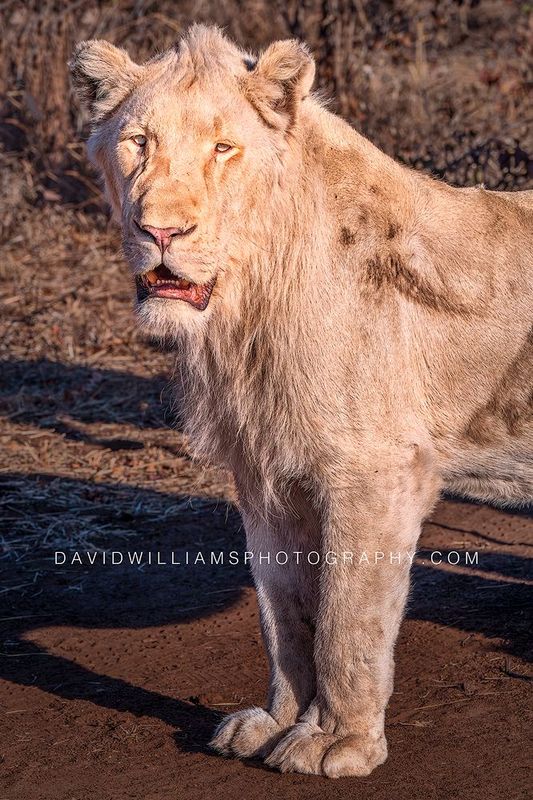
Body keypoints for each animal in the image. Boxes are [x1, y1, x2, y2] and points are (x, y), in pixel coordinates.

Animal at [70, 24, 533, 778]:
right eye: (139, 141)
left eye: (223, 148)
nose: (161, 232)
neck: (245, 308)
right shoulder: (265, 472)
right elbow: (283, 612)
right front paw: (277, 722)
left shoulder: (376, 472)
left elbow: (346, 622)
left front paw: (336, 743)